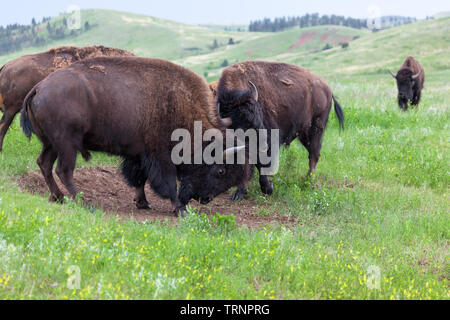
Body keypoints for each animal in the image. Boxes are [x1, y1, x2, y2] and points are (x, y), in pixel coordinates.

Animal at [21, 57, 250, 218]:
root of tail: (39, 88)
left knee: (44, 163)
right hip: (67, 144)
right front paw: (180, 209)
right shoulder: (161, 157)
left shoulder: (139, 154)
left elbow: (139, 178)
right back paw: (84, 204)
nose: (206, 199)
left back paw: (58, 197)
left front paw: (143, 203)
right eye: (221, 170)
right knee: (63, 170)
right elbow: (168, 184)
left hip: (52, 144)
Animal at [216, 60, 342, 200]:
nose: (264, 144)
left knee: (314, 154)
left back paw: (309, 181)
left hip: (316, 127)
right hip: (303, 133)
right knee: (313, 153)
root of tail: (328, 89)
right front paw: (239, 193)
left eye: (259, 114)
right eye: (242, 125)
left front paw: (267, 188)